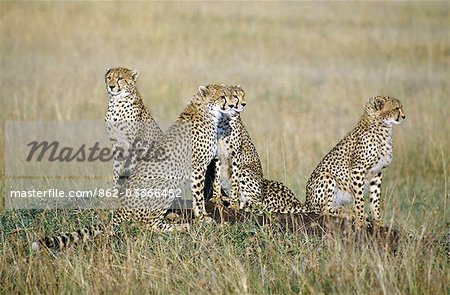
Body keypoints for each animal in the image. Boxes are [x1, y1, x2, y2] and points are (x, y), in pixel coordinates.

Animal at [306, 96, 404, 225]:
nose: (404, 116)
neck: (382, 127)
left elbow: (375, 198)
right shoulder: (357, 169)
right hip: (326, 176)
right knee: (324, 209)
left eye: (401, 107)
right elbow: (359, 198)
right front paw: (360, 220)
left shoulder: (377, 172)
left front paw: (378, 220)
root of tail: (306, 202)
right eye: (396, 108)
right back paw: (347, 213)